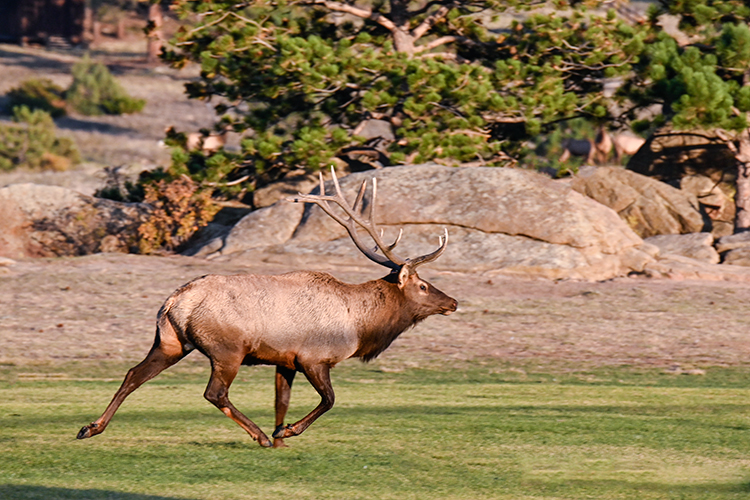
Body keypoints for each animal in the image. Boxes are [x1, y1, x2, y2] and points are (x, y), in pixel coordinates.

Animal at [79, 168, 462, 450]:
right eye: (423, 285)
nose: (453, 302)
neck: (360, 325)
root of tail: (176, 301)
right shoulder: (314, 357)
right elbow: (329, 400)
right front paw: (284, 432)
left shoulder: (285, 360)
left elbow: (282, 400)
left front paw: (281, 436)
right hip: (227, 350)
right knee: (214, 392)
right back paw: (259, 435)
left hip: (171, 341)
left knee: (134, 374)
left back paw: (91, 427)